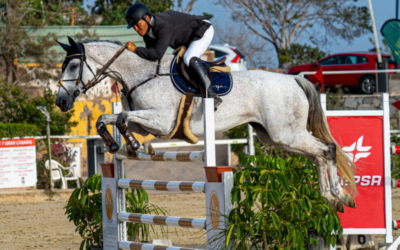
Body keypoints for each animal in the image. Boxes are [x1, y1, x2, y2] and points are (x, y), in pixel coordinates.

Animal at [54, 38, 356, 212]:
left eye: (72, 67)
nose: (61, 101)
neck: (141, 74)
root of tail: (294, 79)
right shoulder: (146, 121)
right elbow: (106, 119)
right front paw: (116, 143)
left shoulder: (160, 122)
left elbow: (121, 118)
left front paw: (135, 146)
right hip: (276, 137)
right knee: (318, 155)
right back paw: (330, 198)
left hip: (287, 134)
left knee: (327, 149)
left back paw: (338, 196)